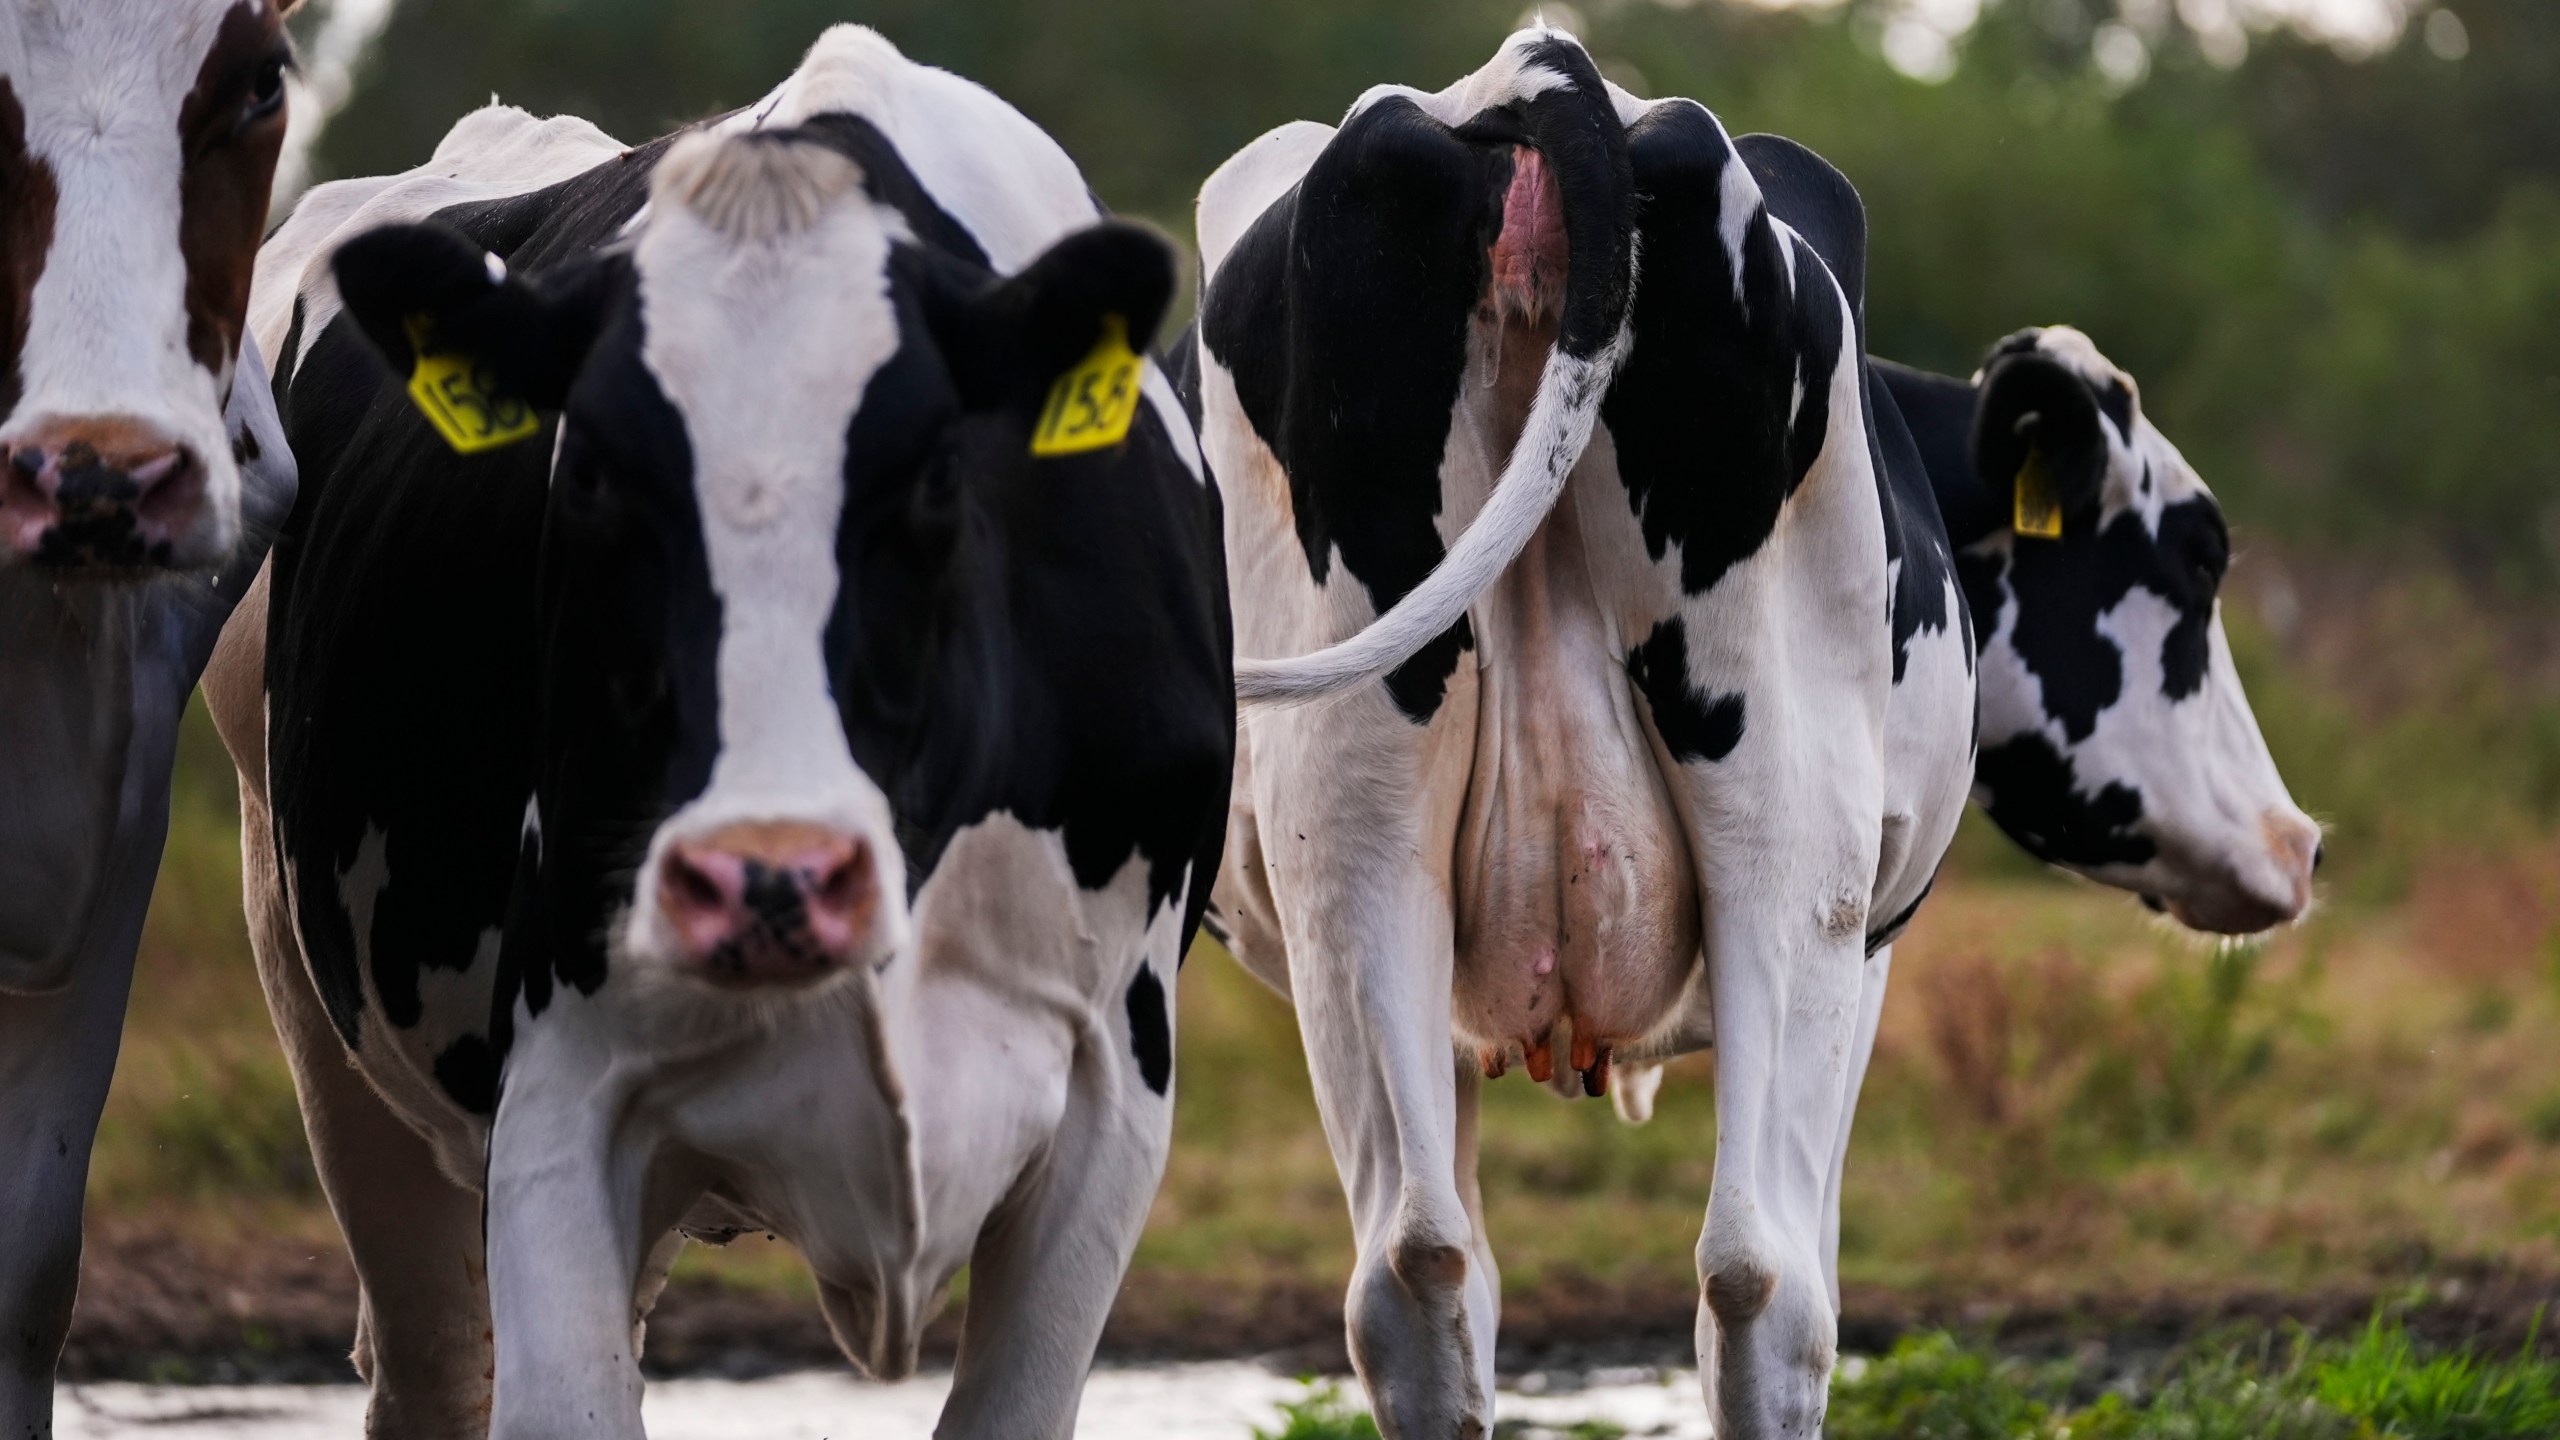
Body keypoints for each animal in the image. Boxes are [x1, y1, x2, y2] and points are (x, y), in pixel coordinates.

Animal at [209, 25, 1228, 1434]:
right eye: (587, 473)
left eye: (936, 474)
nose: (767, 877)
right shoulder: (560, 1087)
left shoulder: (1114, 1095)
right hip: (324, 1017)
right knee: (434, 1364)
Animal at [1177, 30, 2324, 1434]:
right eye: (2200, 557)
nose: (2297, 842)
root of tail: (1537, 74)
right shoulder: (1871, 938)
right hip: (1791, 844)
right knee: (1762, 1278)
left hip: (1353, 845)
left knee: (1412, 1267)